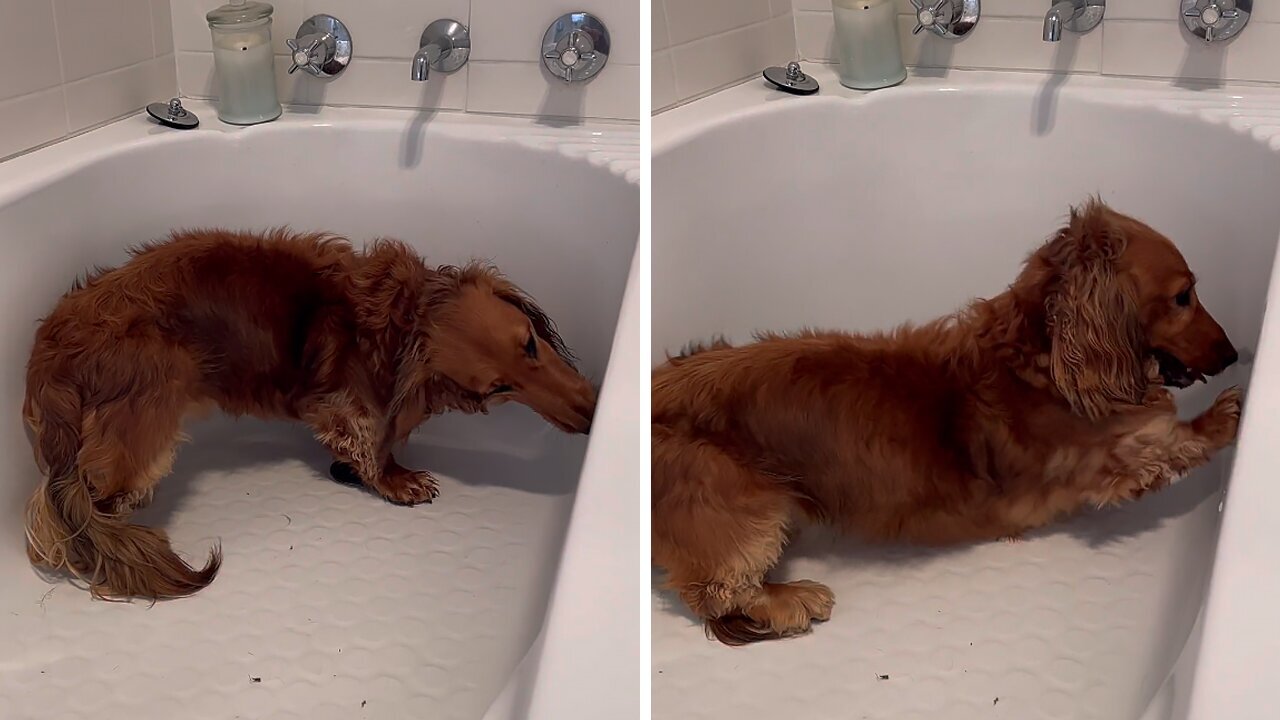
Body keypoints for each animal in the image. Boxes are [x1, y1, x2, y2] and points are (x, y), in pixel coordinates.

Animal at [23, 226, 593, 597]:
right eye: (498, 387)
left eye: (530, 344)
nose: (591, 414)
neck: (398, 324)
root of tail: (54, 344)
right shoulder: (340, 406)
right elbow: (372, 445)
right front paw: (396, 480)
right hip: (150, 410)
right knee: (79, 503)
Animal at [655, 198, 1233, 640]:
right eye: (1183, 296)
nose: (1232, 355)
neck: (1036, 362)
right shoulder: (1104, 462)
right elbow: (1170, 444)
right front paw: (1227, 413)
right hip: (743, 506)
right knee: (718, 591)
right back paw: (789, 598)